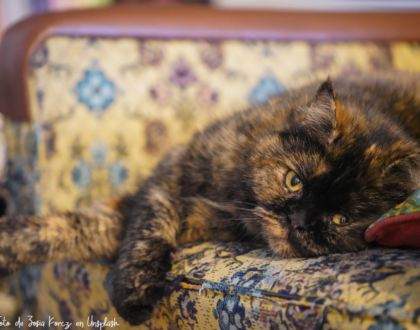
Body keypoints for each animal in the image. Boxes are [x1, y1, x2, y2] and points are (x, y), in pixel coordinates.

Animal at [0, 76, 420, 326]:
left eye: (339, 220)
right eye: (293, 181)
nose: (298, 221)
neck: (234, 197)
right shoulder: (169, 176)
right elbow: (89, 228)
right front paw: (134, 289)